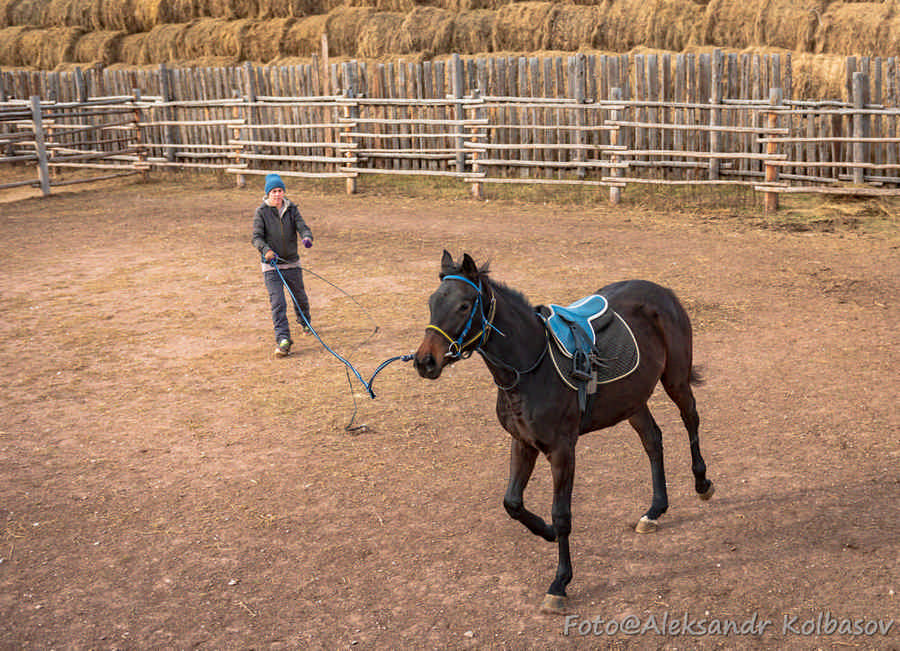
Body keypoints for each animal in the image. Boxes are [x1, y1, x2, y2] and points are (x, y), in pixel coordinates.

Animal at [414, 252, 716, 612]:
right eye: (432, 302)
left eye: (463, 305)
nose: (424, 362)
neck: (532, 368)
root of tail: (663, 291)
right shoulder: (523, 443)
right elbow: (512, 502)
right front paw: (544, 531)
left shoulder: (562, 451)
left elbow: (562, 515)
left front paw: (560, 582)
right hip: (633, 400)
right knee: (653, 440)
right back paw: (655, 510)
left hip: (676, 379)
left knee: (691, 419)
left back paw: (702, 482)